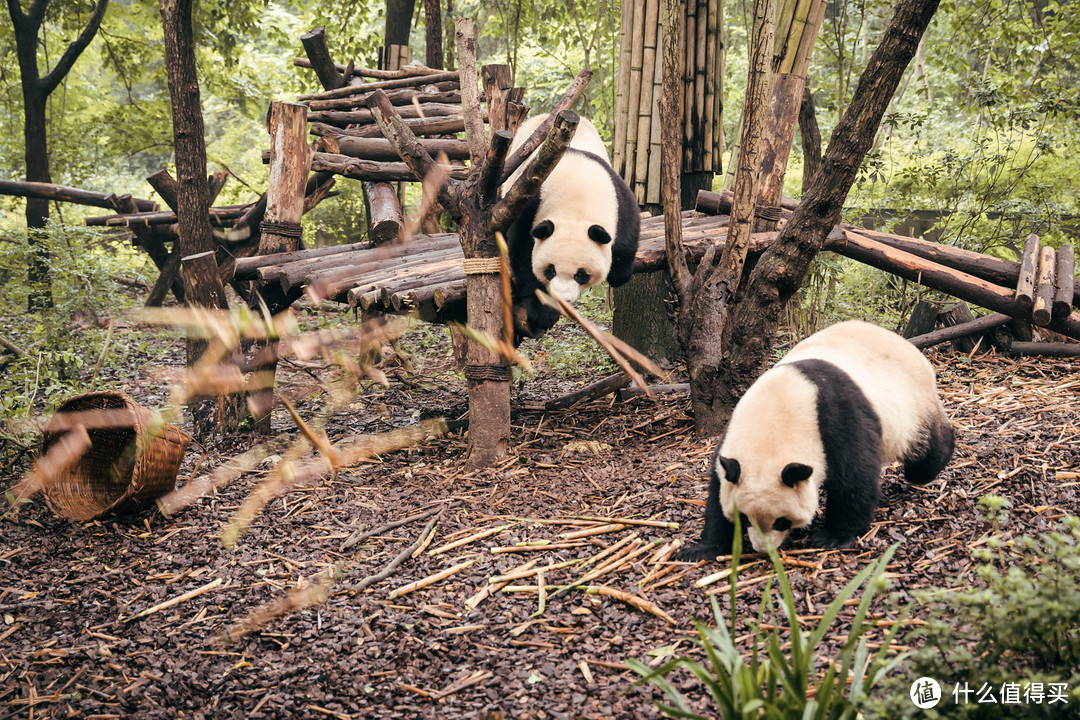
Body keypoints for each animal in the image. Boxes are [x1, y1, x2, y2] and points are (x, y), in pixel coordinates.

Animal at [498, 112, 639, 338]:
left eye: (581, 274)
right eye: (551, 270)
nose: (563, 298)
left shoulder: (618, 194)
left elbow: (628, 231)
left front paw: (619, 272)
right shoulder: (532, 202)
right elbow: (523, 252)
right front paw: (542, 311)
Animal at [678, 321, 959, 561]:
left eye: (781, 521)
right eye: (745, 519)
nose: (763, 549)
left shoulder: (837, 416)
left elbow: (854, 475)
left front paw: (833, 537)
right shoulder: (732, 437)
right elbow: (717, 491)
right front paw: (702, 548)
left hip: (911, 403)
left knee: (926, 443)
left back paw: (923, 471)